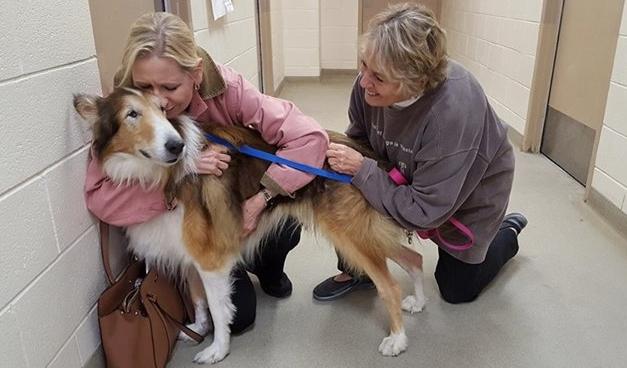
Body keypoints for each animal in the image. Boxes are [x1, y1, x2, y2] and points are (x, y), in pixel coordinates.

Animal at [73, 88, 426, 362]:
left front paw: (218, 350)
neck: (157, 175)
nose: (177, 146)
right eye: (132, 113)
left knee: (390, 286)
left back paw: (397, 340)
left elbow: (218, 308)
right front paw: (197, 330)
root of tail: (363, 156)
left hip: (352, 235)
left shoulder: (211, 260)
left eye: (162, 109)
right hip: (364, 235)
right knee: (414, 258)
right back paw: (419, 302)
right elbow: (198, 300)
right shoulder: (190, 254)